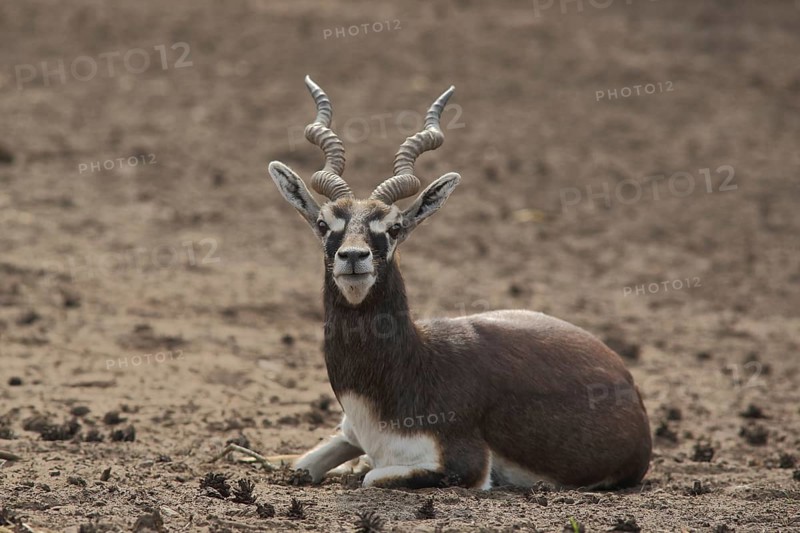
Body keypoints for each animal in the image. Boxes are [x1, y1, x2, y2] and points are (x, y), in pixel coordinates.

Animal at [220, 76, 652, 490]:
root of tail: (628, 382)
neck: (410, 365)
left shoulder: (465, 466)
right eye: (325, 224)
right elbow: (302, 466)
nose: (353, 257)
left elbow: (371, 477)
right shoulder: (348, 432)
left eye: (394, 228)